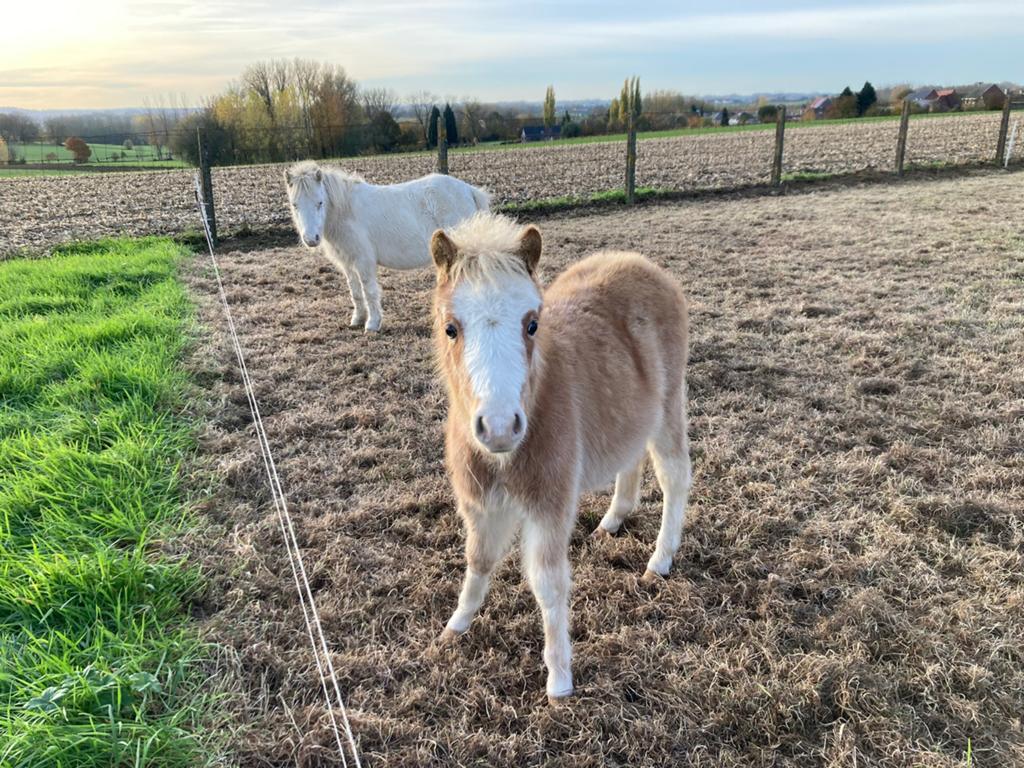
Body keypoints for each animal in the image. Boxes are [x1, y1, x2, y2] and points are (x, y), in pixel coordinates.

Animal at [284, 161, 490, 332]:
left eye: (320, 202)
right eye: (295, 205)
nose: (311, 239)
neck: (345, 211)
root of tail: (469, 190)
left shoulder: (363, 261)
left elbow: (369, 291)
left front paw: (372, 324)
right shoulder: (347, 263)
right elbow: (355, 292)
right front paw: (357, 320)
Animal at [429, 212, 691, 702]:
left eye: (532, 323)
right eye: (451, 327)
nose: (498, 426)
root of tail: (639, 262)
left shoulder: (548, 505)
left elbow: (548, 585)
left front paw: (559, 681)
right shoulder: (479, 504)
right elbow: (478, 561)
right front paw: (454, 628)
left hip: (669, 405)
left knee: (675, 476)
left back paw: (659, 561)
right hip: (632, 411)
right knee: (631, 457)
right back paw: (612, 521)